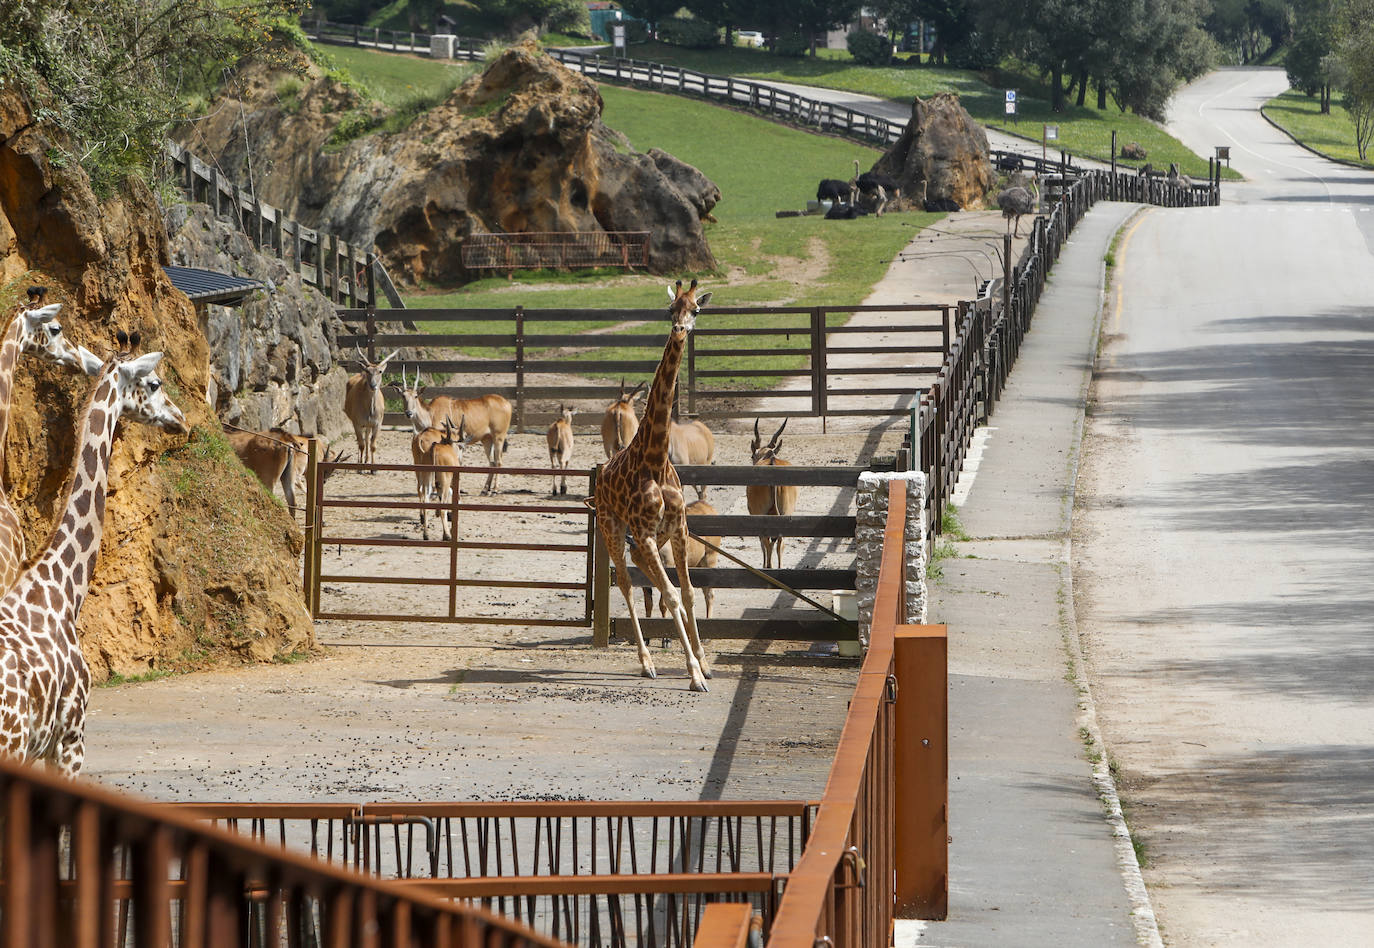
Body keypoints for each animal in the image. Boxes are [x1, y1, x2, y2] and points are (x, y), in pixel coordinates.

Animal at [395, 362, 513, 491]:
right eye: (403, 396)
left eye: (416, 396)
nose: (409, 413)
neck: (431, 414)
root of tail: (507, 403)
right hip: (487, 439)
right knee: (492, 462)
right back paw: (485, 489)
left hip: (499, 437)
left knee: (498, 461)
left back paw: (495, 489)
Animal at [590, 277, 714, 689]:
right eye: (670, 309)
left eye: (696, 309)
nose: (679, 330)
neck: (656, 460)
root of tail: (599, 476)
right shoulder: (643, 531)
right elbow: (673, 596)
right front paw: (694, 674)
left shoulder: (677, 528)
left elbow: (687, 593)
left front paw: (704, 662)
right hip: (611, 526)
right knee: (629, 582)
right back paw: (646, 662)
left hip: (652, 540)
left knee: (647, 574)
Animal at [747, 417, 802, 566]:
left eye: (752, 456)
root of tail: (772, 462)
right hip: (786, 513)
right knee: (780, 543)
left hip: (762, 515)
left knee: (767, 543)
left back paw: (768, 567)